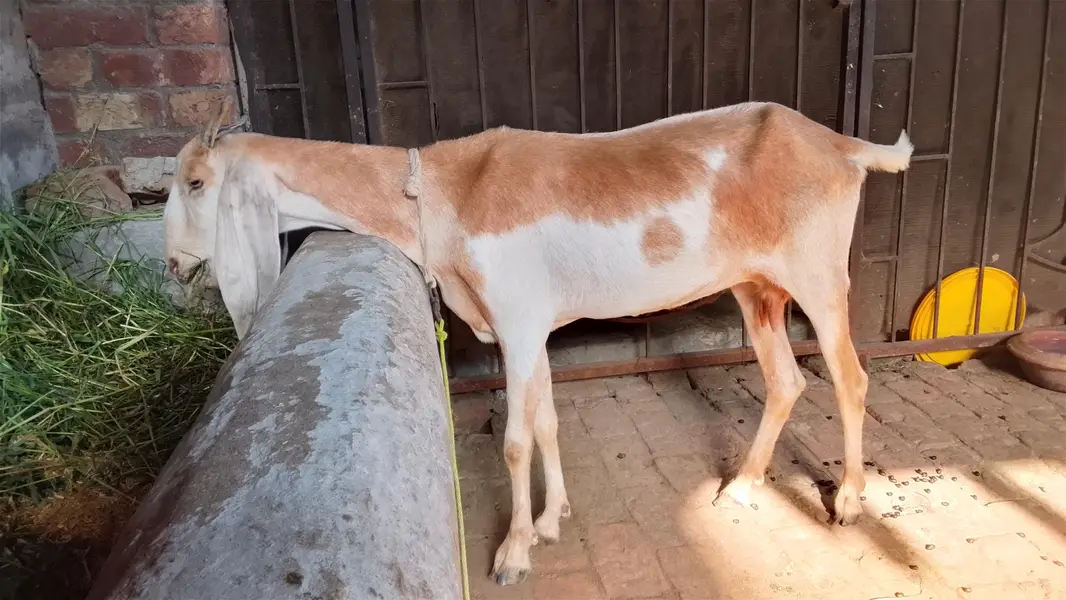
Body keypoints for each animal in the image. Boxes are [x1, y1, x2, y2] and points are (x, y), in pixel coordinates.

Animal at [164, 101, 913, 586]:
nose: (173, 265)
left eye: (196, 182)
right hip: (757, 287)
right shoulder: (532, 327)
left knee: (850, 378)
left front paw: (514, 552)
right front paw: (554, 520)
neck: (443, 192)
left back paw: (848, 501)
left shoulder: (519, 323)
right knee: (787, 380)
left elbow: (516, 440)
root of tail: (841, 146)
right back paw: (746, 485)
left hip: (818, 276)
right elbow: (549, 421)